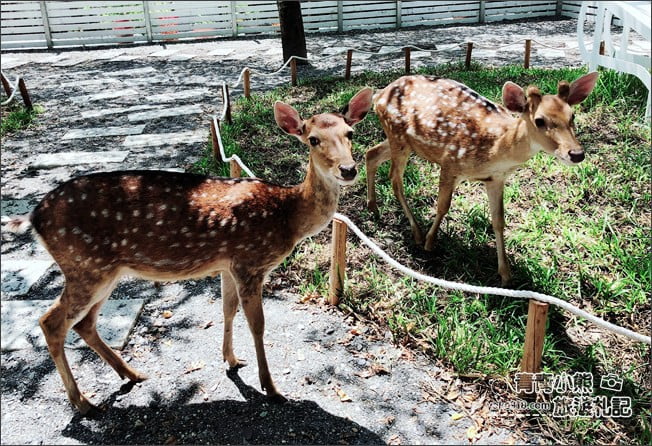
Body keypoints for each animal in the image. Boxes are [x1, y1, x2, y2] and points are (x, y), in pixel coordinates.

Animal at [4, 87, 373, 415]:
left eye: (350, 133)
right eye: (312, 139)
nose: (348, 169)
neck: (287, 214)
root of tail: (34, 217)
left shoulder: (228, 264)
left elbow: (227, 310)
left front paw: (231, 360)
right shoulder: (250, 261)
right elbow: (257, 324)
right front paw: (271, 388)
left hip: (103, 270)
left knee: (84, 324)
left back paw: (131, 374)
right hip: (84, 265)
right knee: (51, 322)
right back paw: (82, 403)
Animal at [365, 72, 598, 285]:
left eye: (572, 116)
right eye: (539, 120)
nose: (576, 153)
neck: (496, 147)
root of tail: (378, 96)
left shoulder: (496, 179)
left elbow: (498, 221)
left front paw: (505, 275)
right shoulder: (450, 163)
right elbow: (443, 206)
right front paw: (430, 243)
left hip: (402, 141)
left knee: (371, 154)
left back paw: (373, 207)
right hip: (398, 136)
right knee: (395, 180)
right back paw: (417, 233)